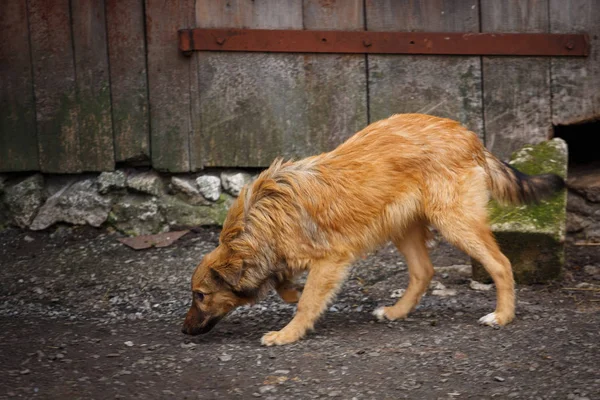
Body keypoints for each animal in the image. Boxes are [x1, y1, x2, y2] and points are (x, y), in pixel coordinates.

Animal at [180, 114, 564, 346]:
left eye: (200, 295)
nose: (183, 330)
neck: (259, 224)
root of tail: (468, 136)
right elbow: (286, 285)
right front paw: (288, 290)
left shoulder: (331, 260)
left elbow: (307, 303)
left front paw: (288, 333)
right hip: (402, 226)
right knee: (423, 272)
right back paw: (397, 312)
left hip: (455, 222)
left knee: (501, 264)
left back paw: (502, 316)